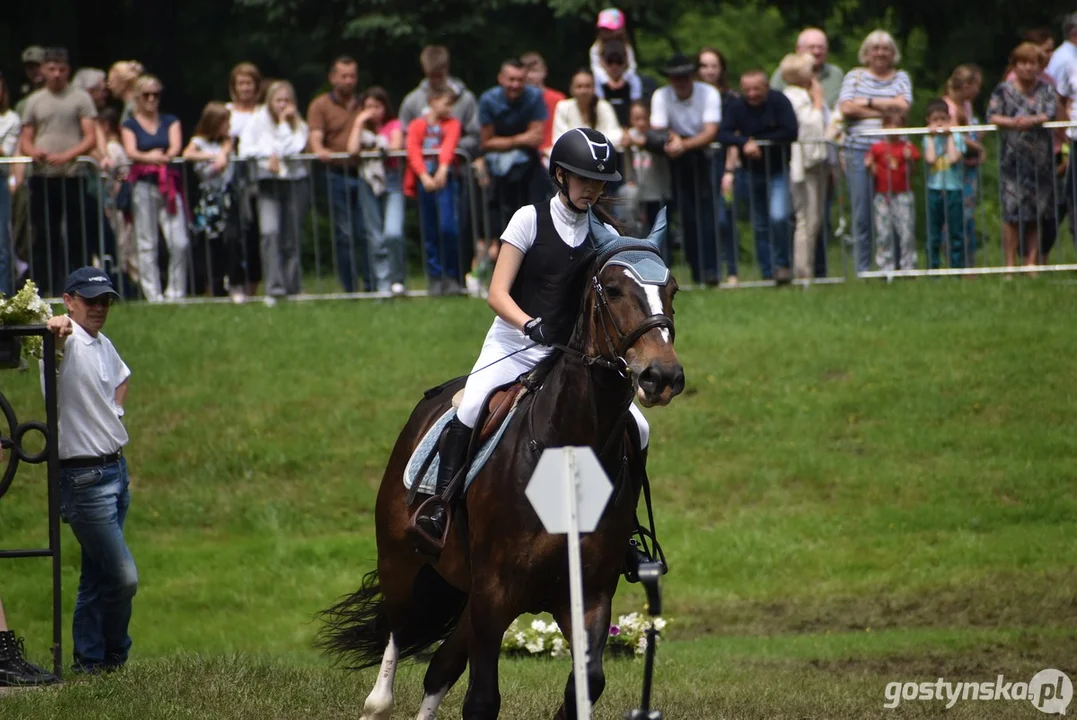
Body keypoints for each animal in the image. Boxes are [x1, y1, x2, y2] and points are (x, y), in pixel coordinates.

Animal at [316, 210, 680, 714]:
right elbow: (482, 699)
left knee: (440, 668)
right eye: (612, 289)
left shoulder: (587, 595)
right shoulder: (494, 591)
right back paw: (378, 702)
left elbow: (585, 685)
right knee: (396, 638)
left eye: (673, 290)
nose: (662, 376)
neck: (566, 453)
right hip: (402, 563)